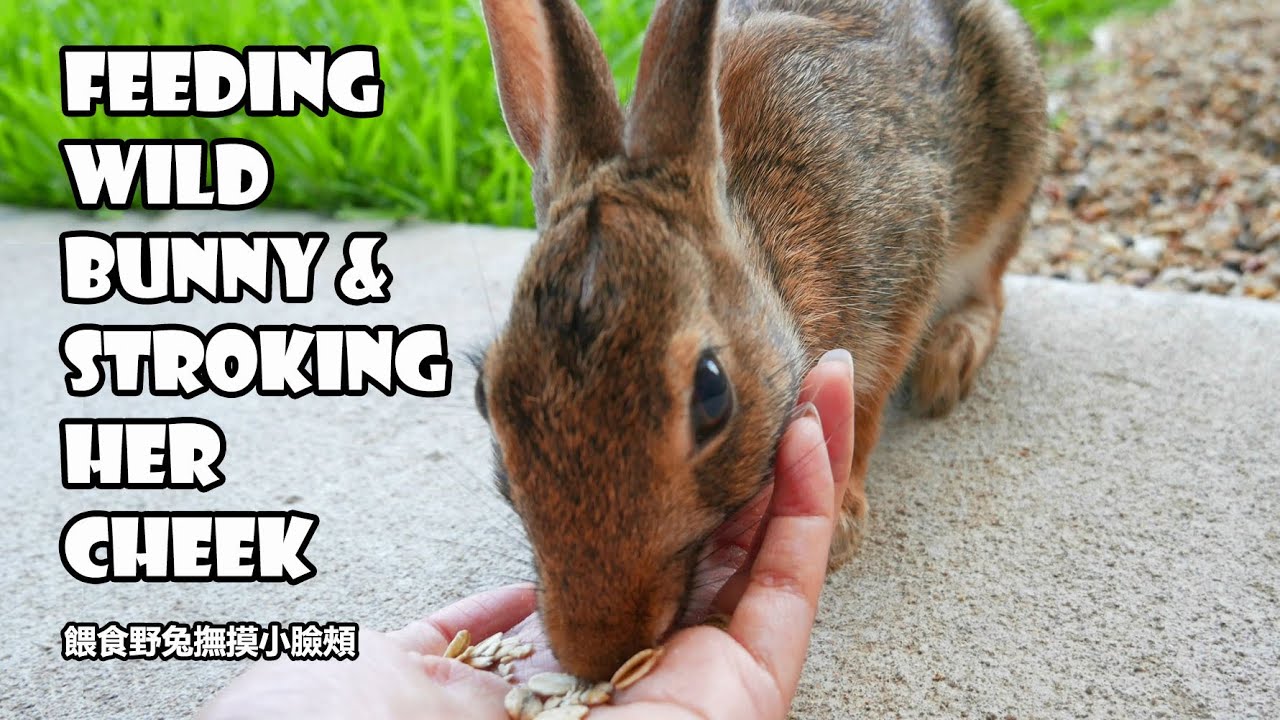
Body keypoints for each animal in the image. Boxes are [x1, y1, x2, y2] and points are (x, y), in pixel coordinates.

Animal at [470, 0, 1047, 680]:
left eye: (713, 395)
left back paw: (948, 363)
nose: (599, 651)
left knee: (992, 287)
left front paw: (842, 524)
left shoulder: (908, 258)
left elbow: (865, 403)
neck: (759, 247)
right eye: (485, 397)